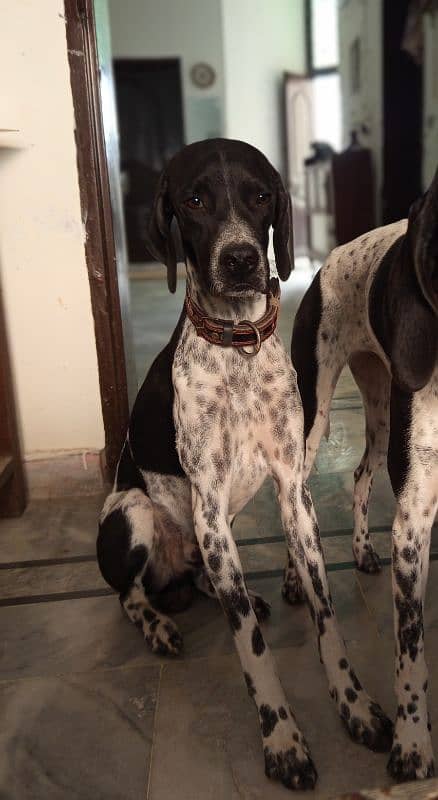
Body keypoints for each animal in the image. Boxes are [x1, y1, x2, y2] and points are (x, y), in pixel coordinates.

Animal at [97, 139, 392, 792]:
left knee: (215, 585)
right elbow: (252, 651)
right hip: (134, 512)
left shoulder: (293, 493)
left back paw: (232, 595)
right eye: (194, 200)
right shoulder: (207, 506)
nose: (240, 260)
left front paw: (355, 705)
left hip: (217, 532)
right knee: (130, 594)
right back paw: (157, 625)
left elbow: (327, 616)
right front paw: (282, 739)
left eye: (259, 195)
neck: (239, 348)